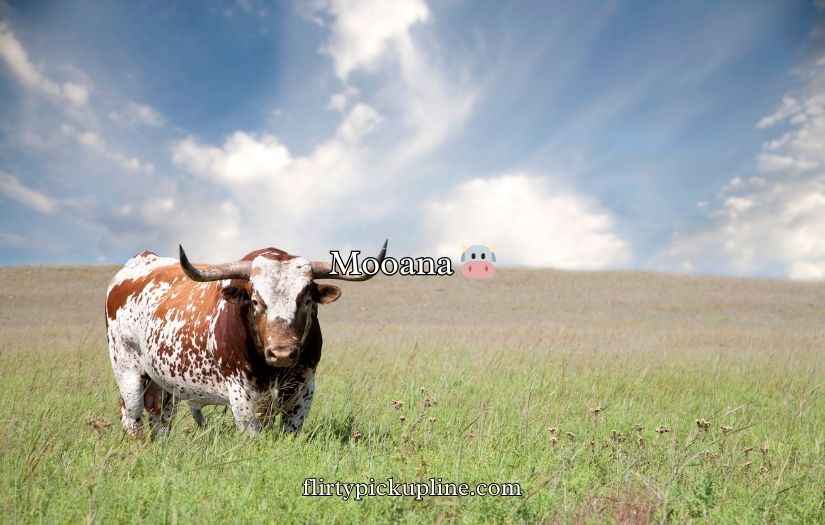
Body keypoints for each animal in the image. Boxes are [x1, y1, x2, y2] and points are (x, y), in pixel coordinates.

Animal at [105, 241, 387, 437]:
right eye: (255, 300)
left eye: (306, 299)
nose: (282, 353)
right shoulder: (242, 396)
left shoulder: (303, 389)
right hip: (127, 372)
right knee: (131, 416)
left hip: (162, 383)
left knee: (160, 416)